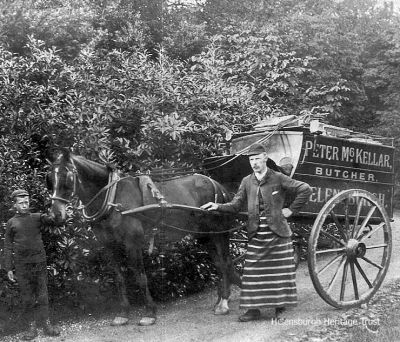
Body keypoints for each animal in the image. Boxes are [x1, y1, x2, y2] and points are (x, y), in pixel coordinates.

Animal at [47, 150, 241, 326]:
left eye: (66, 177)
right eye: (50, 180)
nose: (56, 214)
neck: (113, 198)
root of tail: (216, 185)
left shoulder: (132, 243)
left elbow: (140, 276)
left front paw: (150, 313)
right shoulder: (110, 245)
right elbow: (119, 278)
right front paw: (123, 313)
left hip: (220, 232)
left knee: (225, 262)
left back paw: (224, 303)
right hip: (204, 235)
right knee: (219, 263)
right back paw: (220, 300)